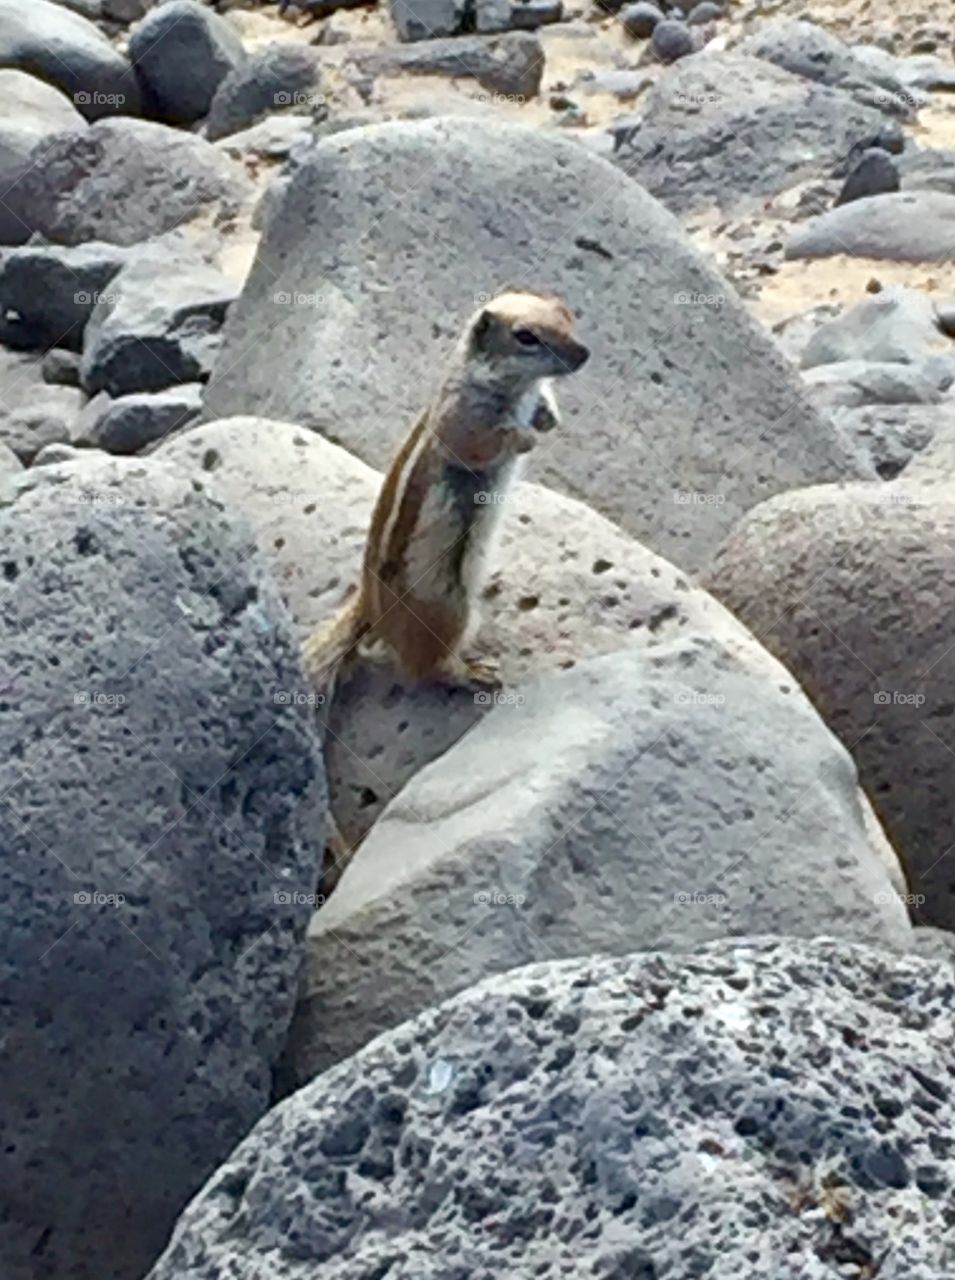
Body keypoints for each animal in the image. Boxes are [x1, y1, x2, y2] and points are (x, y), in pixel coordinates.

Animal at [302, 286, 589, 875]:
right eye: (526, 337)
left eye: (566, 312)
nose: (585, 354)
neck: (503, 383)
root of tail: (369, 606)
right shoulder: (463, 422)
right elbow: (485, 443)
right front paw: (525, 435)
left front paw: (549, 415)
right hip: (448, 609)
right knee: (422, 669)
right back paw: (470, 672)